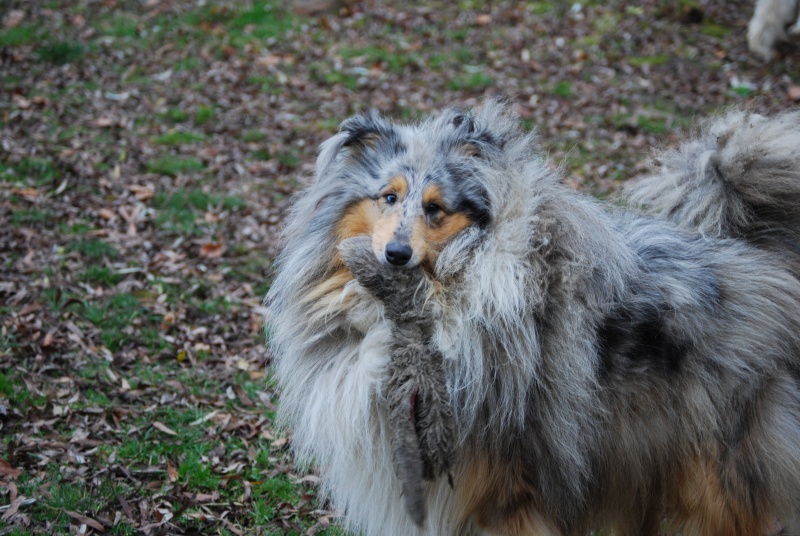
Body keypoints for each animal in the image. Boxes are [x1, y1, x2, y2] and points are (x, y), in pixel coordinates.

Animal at [266, 101, 800, 536]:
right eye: (388, 197)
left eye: (436, 208)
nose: (395, 256)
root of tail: (755, 255)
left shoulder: (505, 494)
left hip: (713, 478)